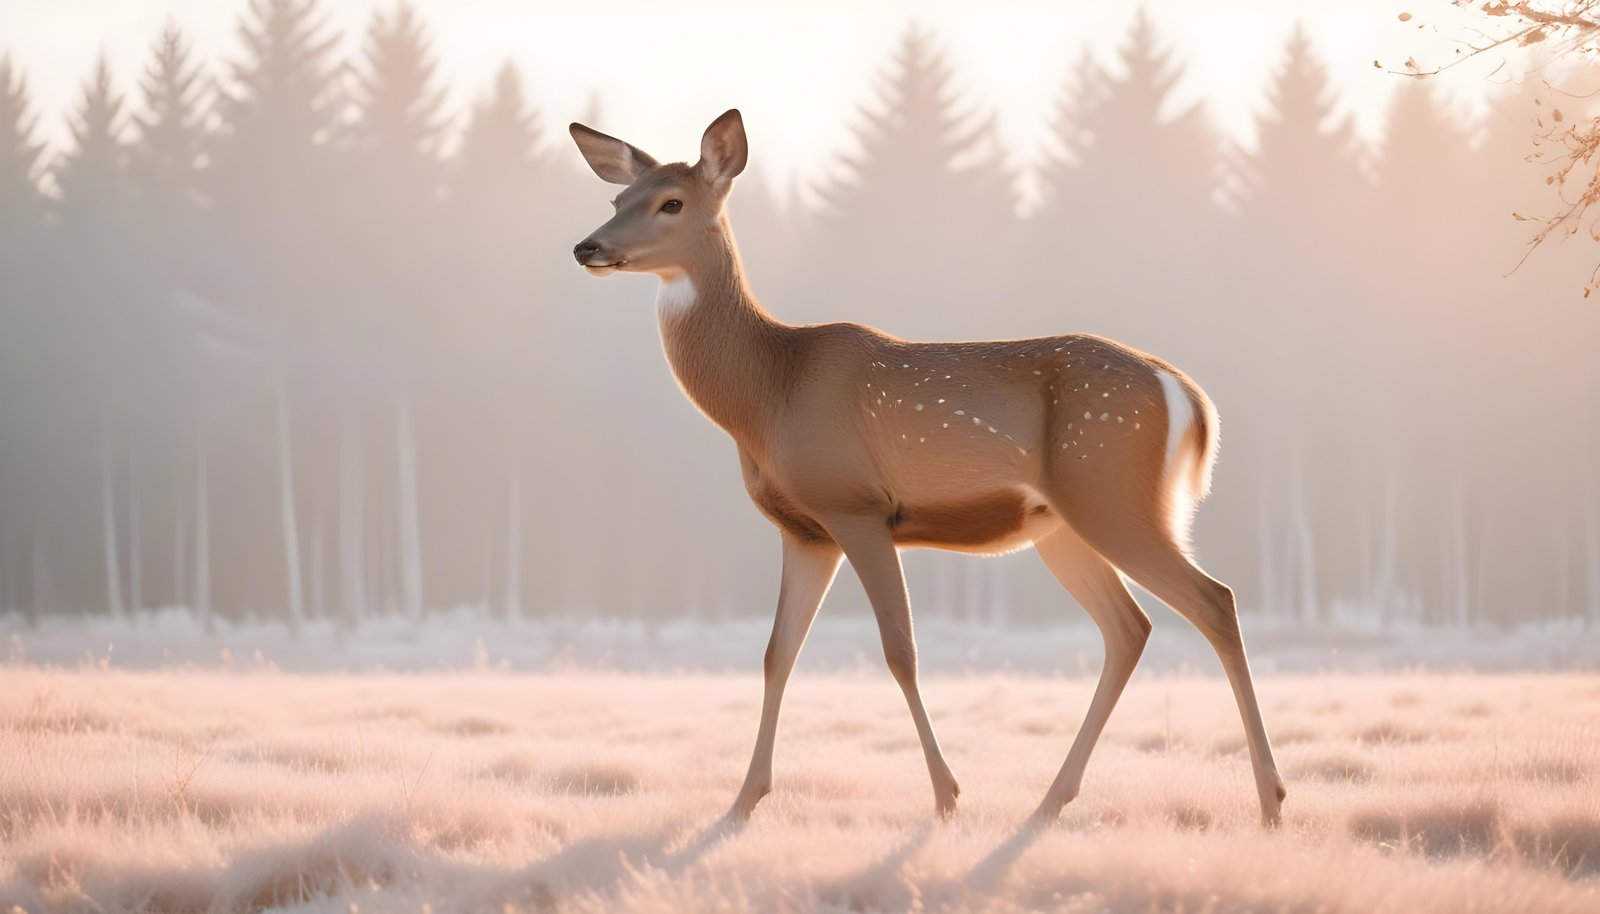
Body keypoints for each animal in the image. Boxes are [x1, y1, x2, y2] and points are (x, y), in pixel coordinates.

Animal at [568, 109, 1287, 828]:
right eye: (618, 198)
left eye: (671, 202)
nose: (587, 248)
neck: (768, 394)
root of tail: (1186, 393)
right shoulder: (805, 530)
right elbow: (778, 653)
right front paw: (744, 799)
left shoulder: (855, 505)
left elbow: (900, 650)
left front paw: (947, 795)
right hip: (1063, 523)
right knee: (1129, 628)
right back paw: (1052, 800)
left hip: (1112, 490)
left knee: (1214, 601)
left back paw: (1271, 800)